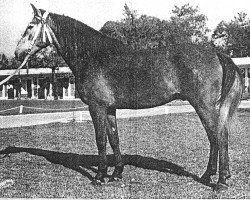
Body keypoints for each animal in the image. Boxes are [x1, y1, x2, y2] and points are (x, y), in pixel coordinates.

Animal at [14, 3, 243, 191]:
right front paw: (116, 174)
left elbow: (100, 140)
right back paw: (208, 176)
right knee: (215, 137)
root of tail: (215, 53)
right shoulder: (109, 108)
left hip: (204, 106)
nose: (17, 53)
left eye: (30, 26)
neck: (93, 56)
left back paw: (220, 182)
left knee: (219, 137)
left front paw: (99, 177)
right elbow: (114, 139)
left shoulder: (96, 107)